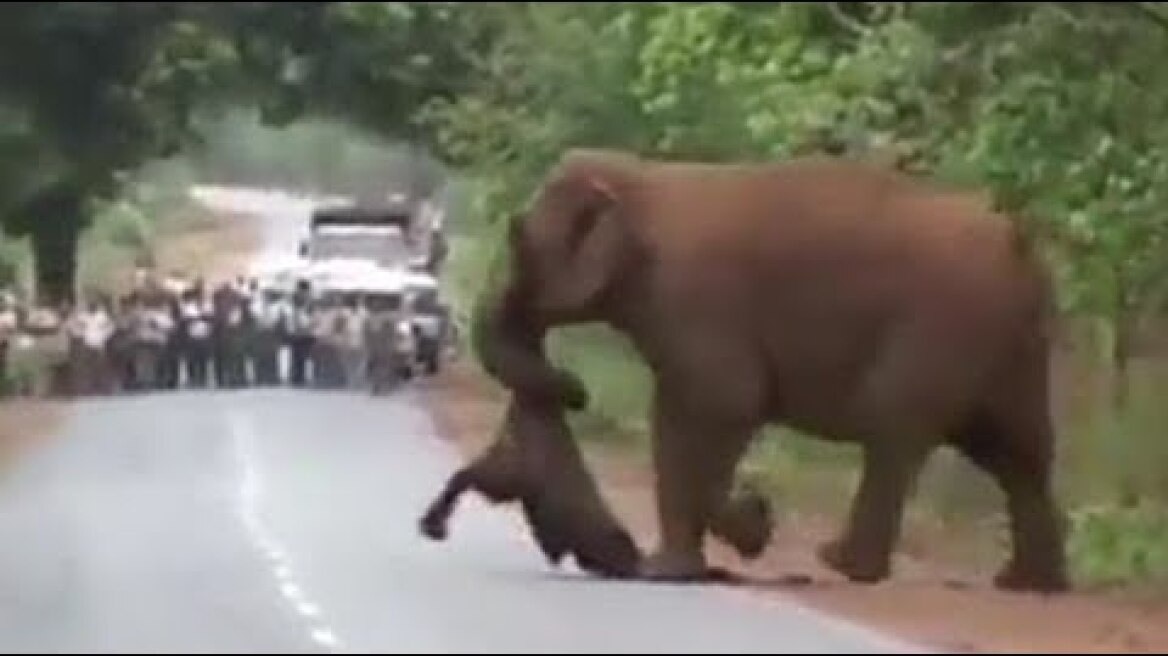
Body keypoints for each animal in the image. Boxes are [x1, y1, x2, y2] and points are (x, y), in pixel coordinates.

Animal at [478, 148, 1069, 593]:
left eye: (519, 240)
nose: (575, 390)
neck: (641, 178)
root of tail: (1020, 246)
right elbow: (672, 417)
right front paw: (671, 572)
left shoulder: (697, 300)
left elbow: (727, 404)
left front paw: (753, 525)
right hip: (1007, 345)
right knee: (1016, 452)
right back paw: (1026, 584)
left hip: (942, 327)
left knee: (896, 429)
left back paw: (841, 563)